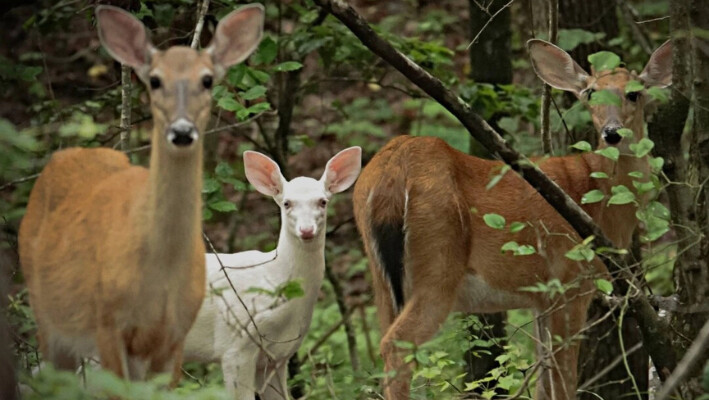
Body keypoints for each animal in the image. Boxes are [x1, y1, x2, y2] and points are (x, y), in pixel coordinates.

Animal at [17, 3, 266, 384]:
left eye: (207, 80)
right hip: (47, 315)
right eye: (155, 80)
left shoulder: (175, 335)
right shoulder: (108, 323)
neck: (159, 271)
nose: (182, 131)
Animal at [352, 38, 672, 400]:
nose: (612, 132)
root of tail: (393, 167)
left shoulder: (541, 298)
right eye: (590, 92)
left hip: (381, 278)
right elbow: (563, 380)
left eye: (634, 92)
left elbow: (545, 381)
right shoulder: (570, 283)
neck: (600, 200)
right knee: (396, 345)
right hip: (437, 263)